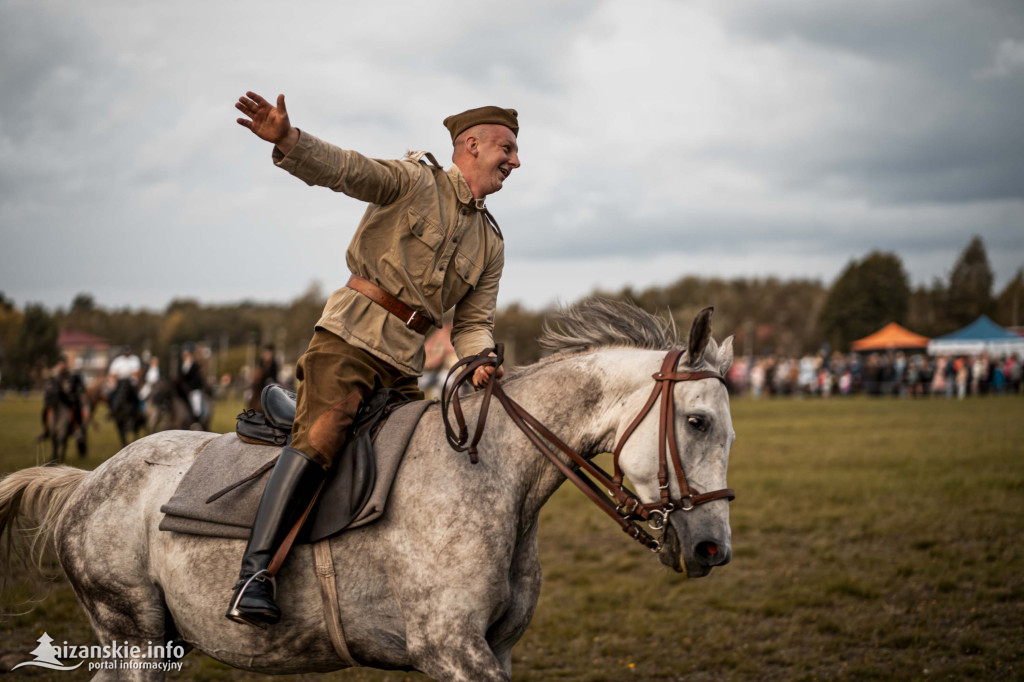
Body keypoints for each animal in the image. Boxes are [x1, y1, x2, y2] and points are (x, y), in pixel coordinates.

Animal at [0, 301, 737, 675]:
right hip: (136, 637)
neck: (492, 476)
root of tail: (89, 482)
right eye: (697, 421)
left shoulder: (489, 651)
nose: (713, 549)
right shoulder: (451, 651)